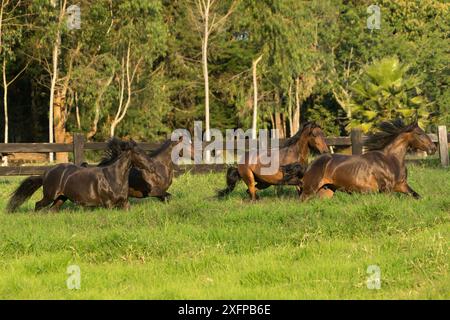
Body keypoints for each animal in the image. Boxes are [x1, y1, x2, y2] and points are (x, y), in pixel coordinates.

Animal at [7, 138, 149, 211]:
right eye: (138, 153)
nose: (150, 166)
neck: (113, 177)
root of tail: (46, 174)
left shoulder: (125, 203)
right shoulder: (108, 204)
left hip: (60, 198)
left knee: (52, 210)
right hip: (50, 196)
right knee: (38, 205)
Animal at [298, 119, 436, 201]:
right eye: (419, 134)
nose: (433, 148)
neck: (391, 160)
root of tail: (310, 165)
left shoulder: (401, 185)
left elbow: (417, 196)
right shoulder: (386, 190)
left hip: (326, 191)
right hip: (309, 190)